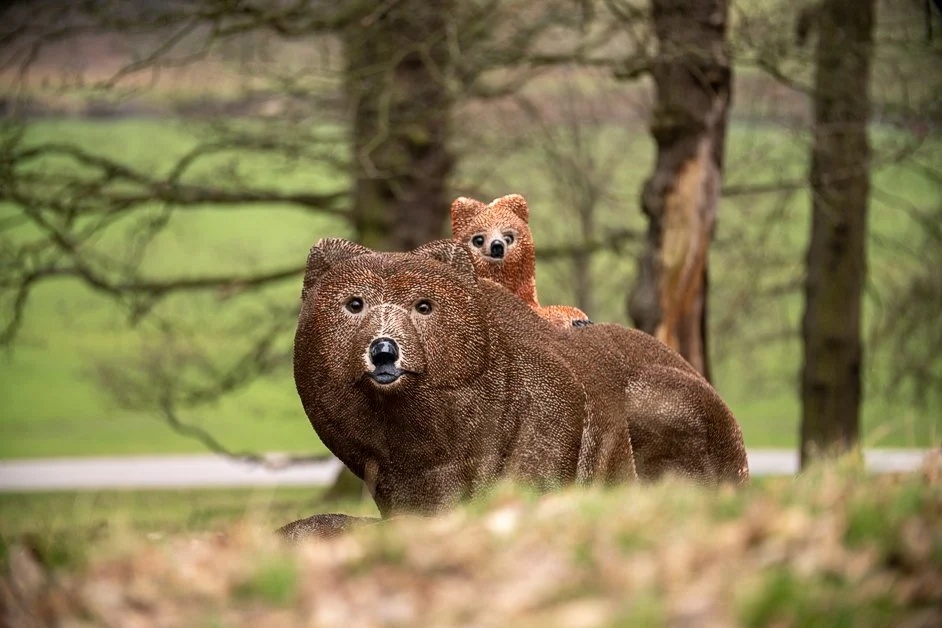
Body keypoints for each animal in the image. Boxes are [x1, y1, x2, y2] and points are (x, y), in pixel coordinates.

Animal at [279, 238, 748, 539]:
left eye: (423, 305)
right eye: (354, 303)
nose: (383, 351)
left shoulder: (545, 407)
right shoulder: (392, 463)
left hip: (674, 404)